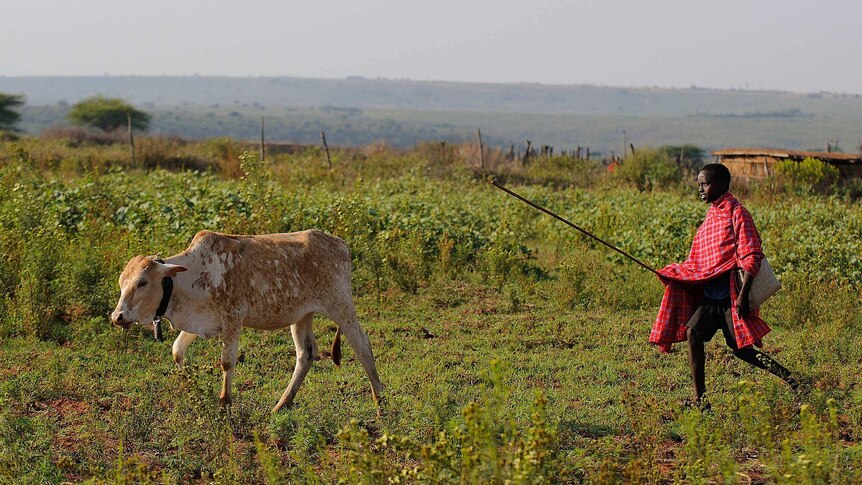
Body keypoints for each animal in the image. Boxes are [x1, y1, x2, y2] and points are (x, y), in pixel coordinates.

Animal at [110, 229, 384, 410]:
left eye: (142, 282)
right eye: (122, 282)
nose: (117, 316)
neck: (190, 276)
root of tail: (338, 243)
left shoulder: (233, 318)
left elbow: (227, 362)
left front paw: (225, 402)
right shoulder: (200, 322)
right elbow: (177, 351)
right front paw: (188, 387)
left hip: (341, 306)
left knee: (362, 347)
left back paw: (380, 400)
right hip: (301, 315)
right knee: (305, 353)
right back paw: (283, 403)